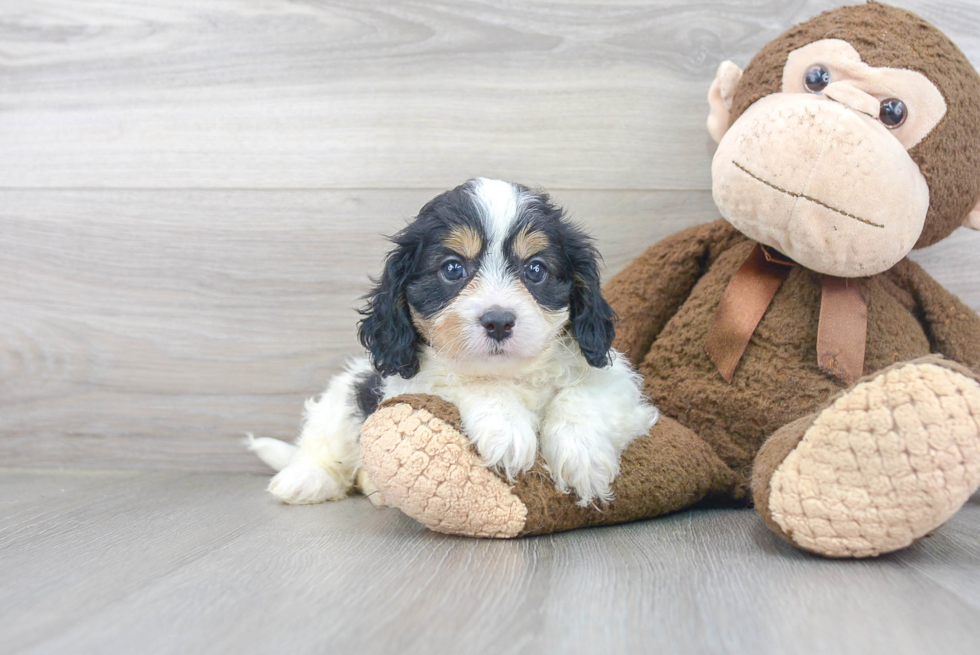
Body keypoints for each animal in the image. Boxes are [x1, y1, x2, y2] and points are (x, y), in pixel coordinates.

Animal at [249, 178, 660, 508]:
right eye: (452, 268)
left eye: (536, 270)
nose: (498, 321)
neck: (513, 372)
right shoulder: (413, 383)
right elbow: (470, 383)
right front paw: (507, 429)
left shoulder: (616, 382)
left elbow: (583, 396)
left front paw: (581, 455)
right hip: (348, 395)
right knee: (323, 441)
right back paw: (306, 479)